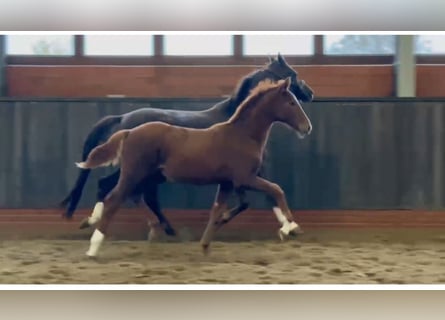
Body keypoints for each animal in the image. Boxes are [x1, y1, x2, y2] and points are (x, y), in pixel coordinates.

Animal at [60, 53, 314, 238]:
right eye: (293, 74)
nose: (310, 93)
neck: (237, 121)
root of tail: (123, 119)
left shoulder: (246, 173)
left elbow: (264, 195)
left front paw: (289, 226)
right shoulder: (249, 171)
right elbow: (269, 194)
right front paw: (290, 226)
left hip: (150, 173)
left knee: (141, 195)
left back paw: (163, 228)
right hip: (136, 169)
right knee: (108, 186)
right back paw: (94, 221)